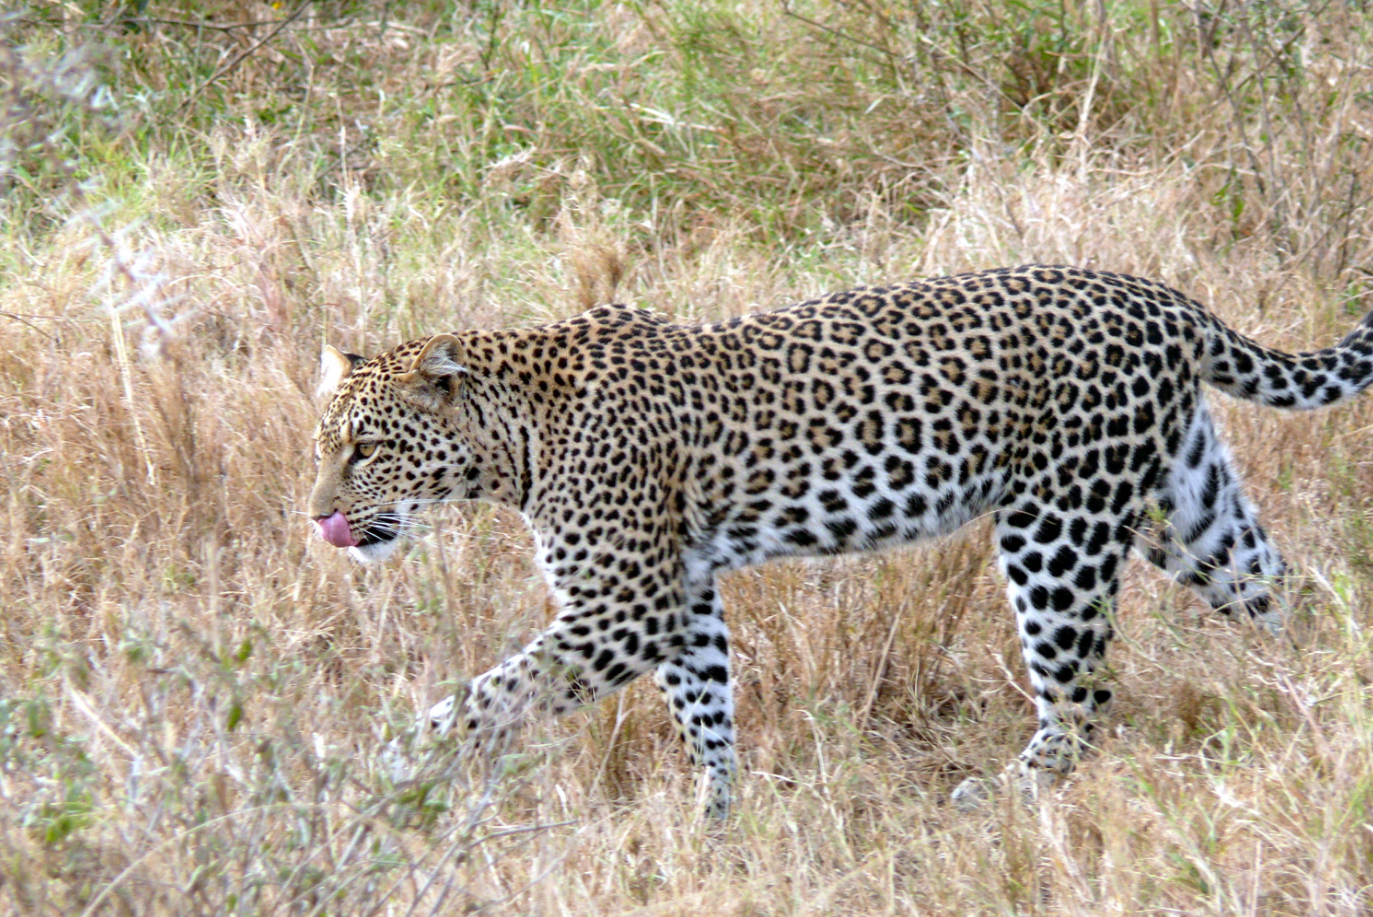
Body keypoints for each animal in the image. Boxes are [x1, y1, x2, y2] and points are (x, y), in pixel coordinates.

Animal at [308, 264, 1373, 818]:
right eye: (324, 445)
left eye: (366, 448)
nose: (318, 517)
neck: (513, 441)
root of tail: (1161, 296)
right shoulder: (680, 596)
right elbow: (705, 711)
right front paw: (714, 823)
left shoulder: (624, 606)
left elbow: (488, 697)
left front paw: (384, 771)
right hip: (1182, 505)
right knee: (1286, 592)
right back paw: (1324, 709)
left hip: (1055, 524)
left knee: (1080, 698)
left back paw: (993, 797)